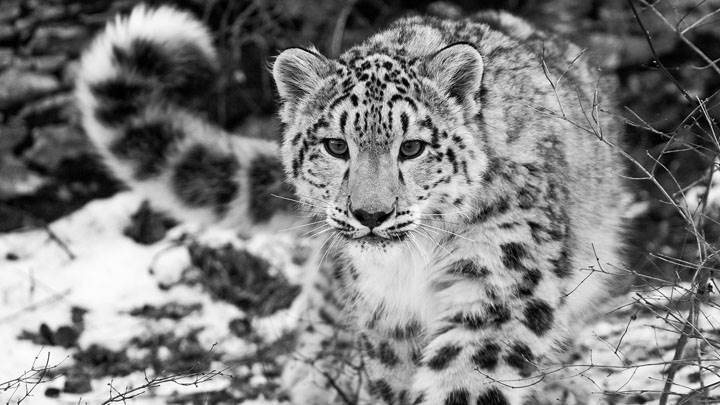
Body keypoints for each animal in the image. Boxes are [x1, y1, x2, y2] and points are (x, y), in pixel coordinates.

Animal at [76, 5, 628, 404]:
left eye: (413, 147)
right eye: (336, 146)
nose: (371, 215)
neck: (414, 265)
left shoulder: (497, 287)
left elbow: (465, 378)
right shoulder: (387, 318)